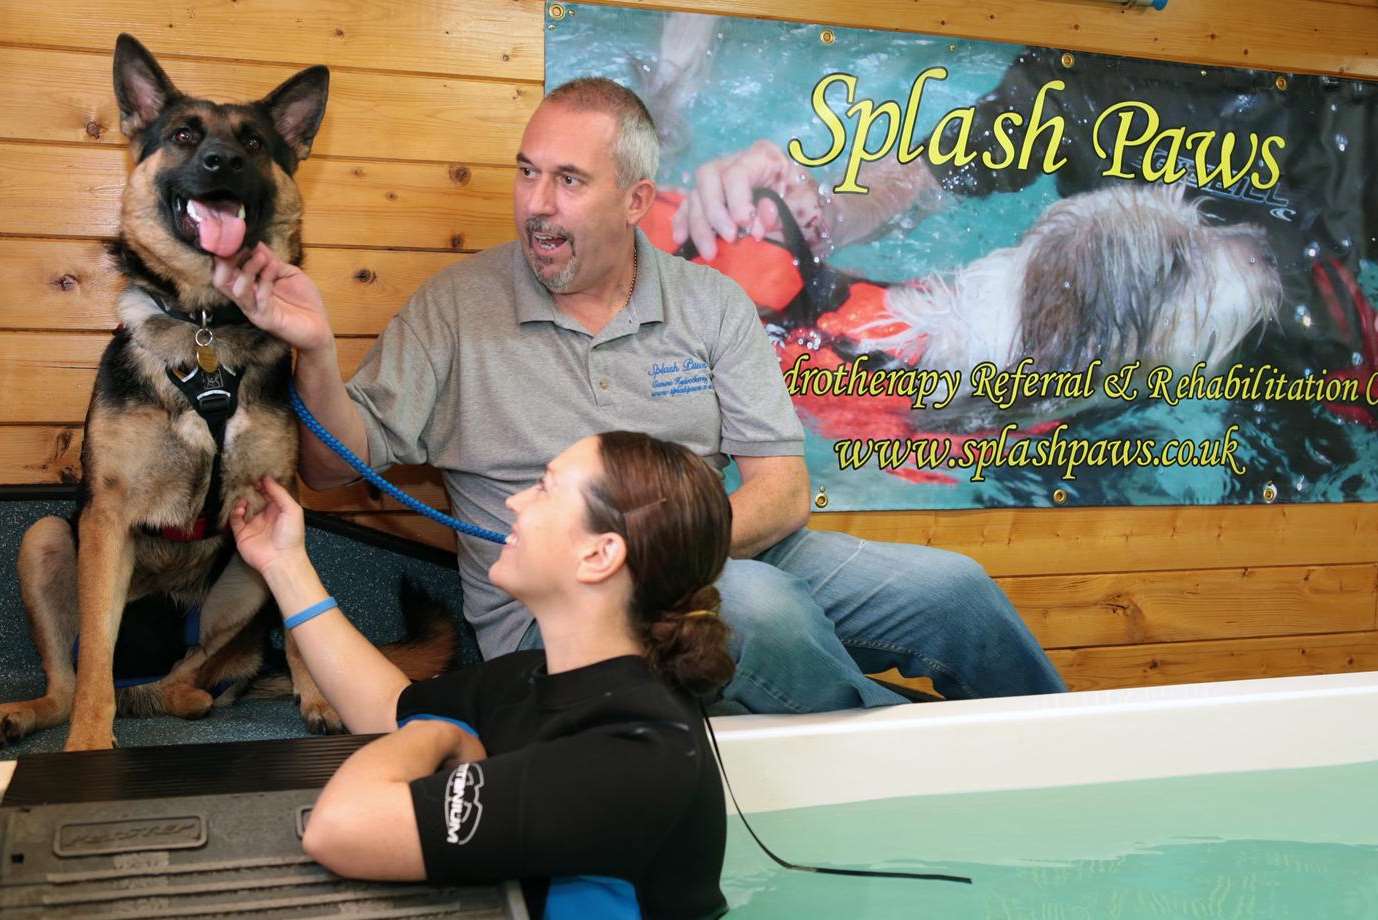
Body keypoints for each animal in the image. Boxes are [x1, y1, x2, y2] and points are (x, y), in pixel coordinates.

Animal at [0, 37, 451, 754]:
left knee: (204, 670)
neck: (206, 322)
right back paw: (39, 710)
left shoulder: (274, 510)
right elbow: (95, 656)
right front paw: (89, 745)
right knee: (71, 681)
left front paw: (318, 697)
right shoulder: (106, 520)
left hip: (243, 577)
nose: (223, 162)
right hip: (44, 539)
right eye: (185, 135)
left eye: (256, 143)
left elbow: (300, 621)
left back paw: (189, 697)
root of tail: (145, 688)